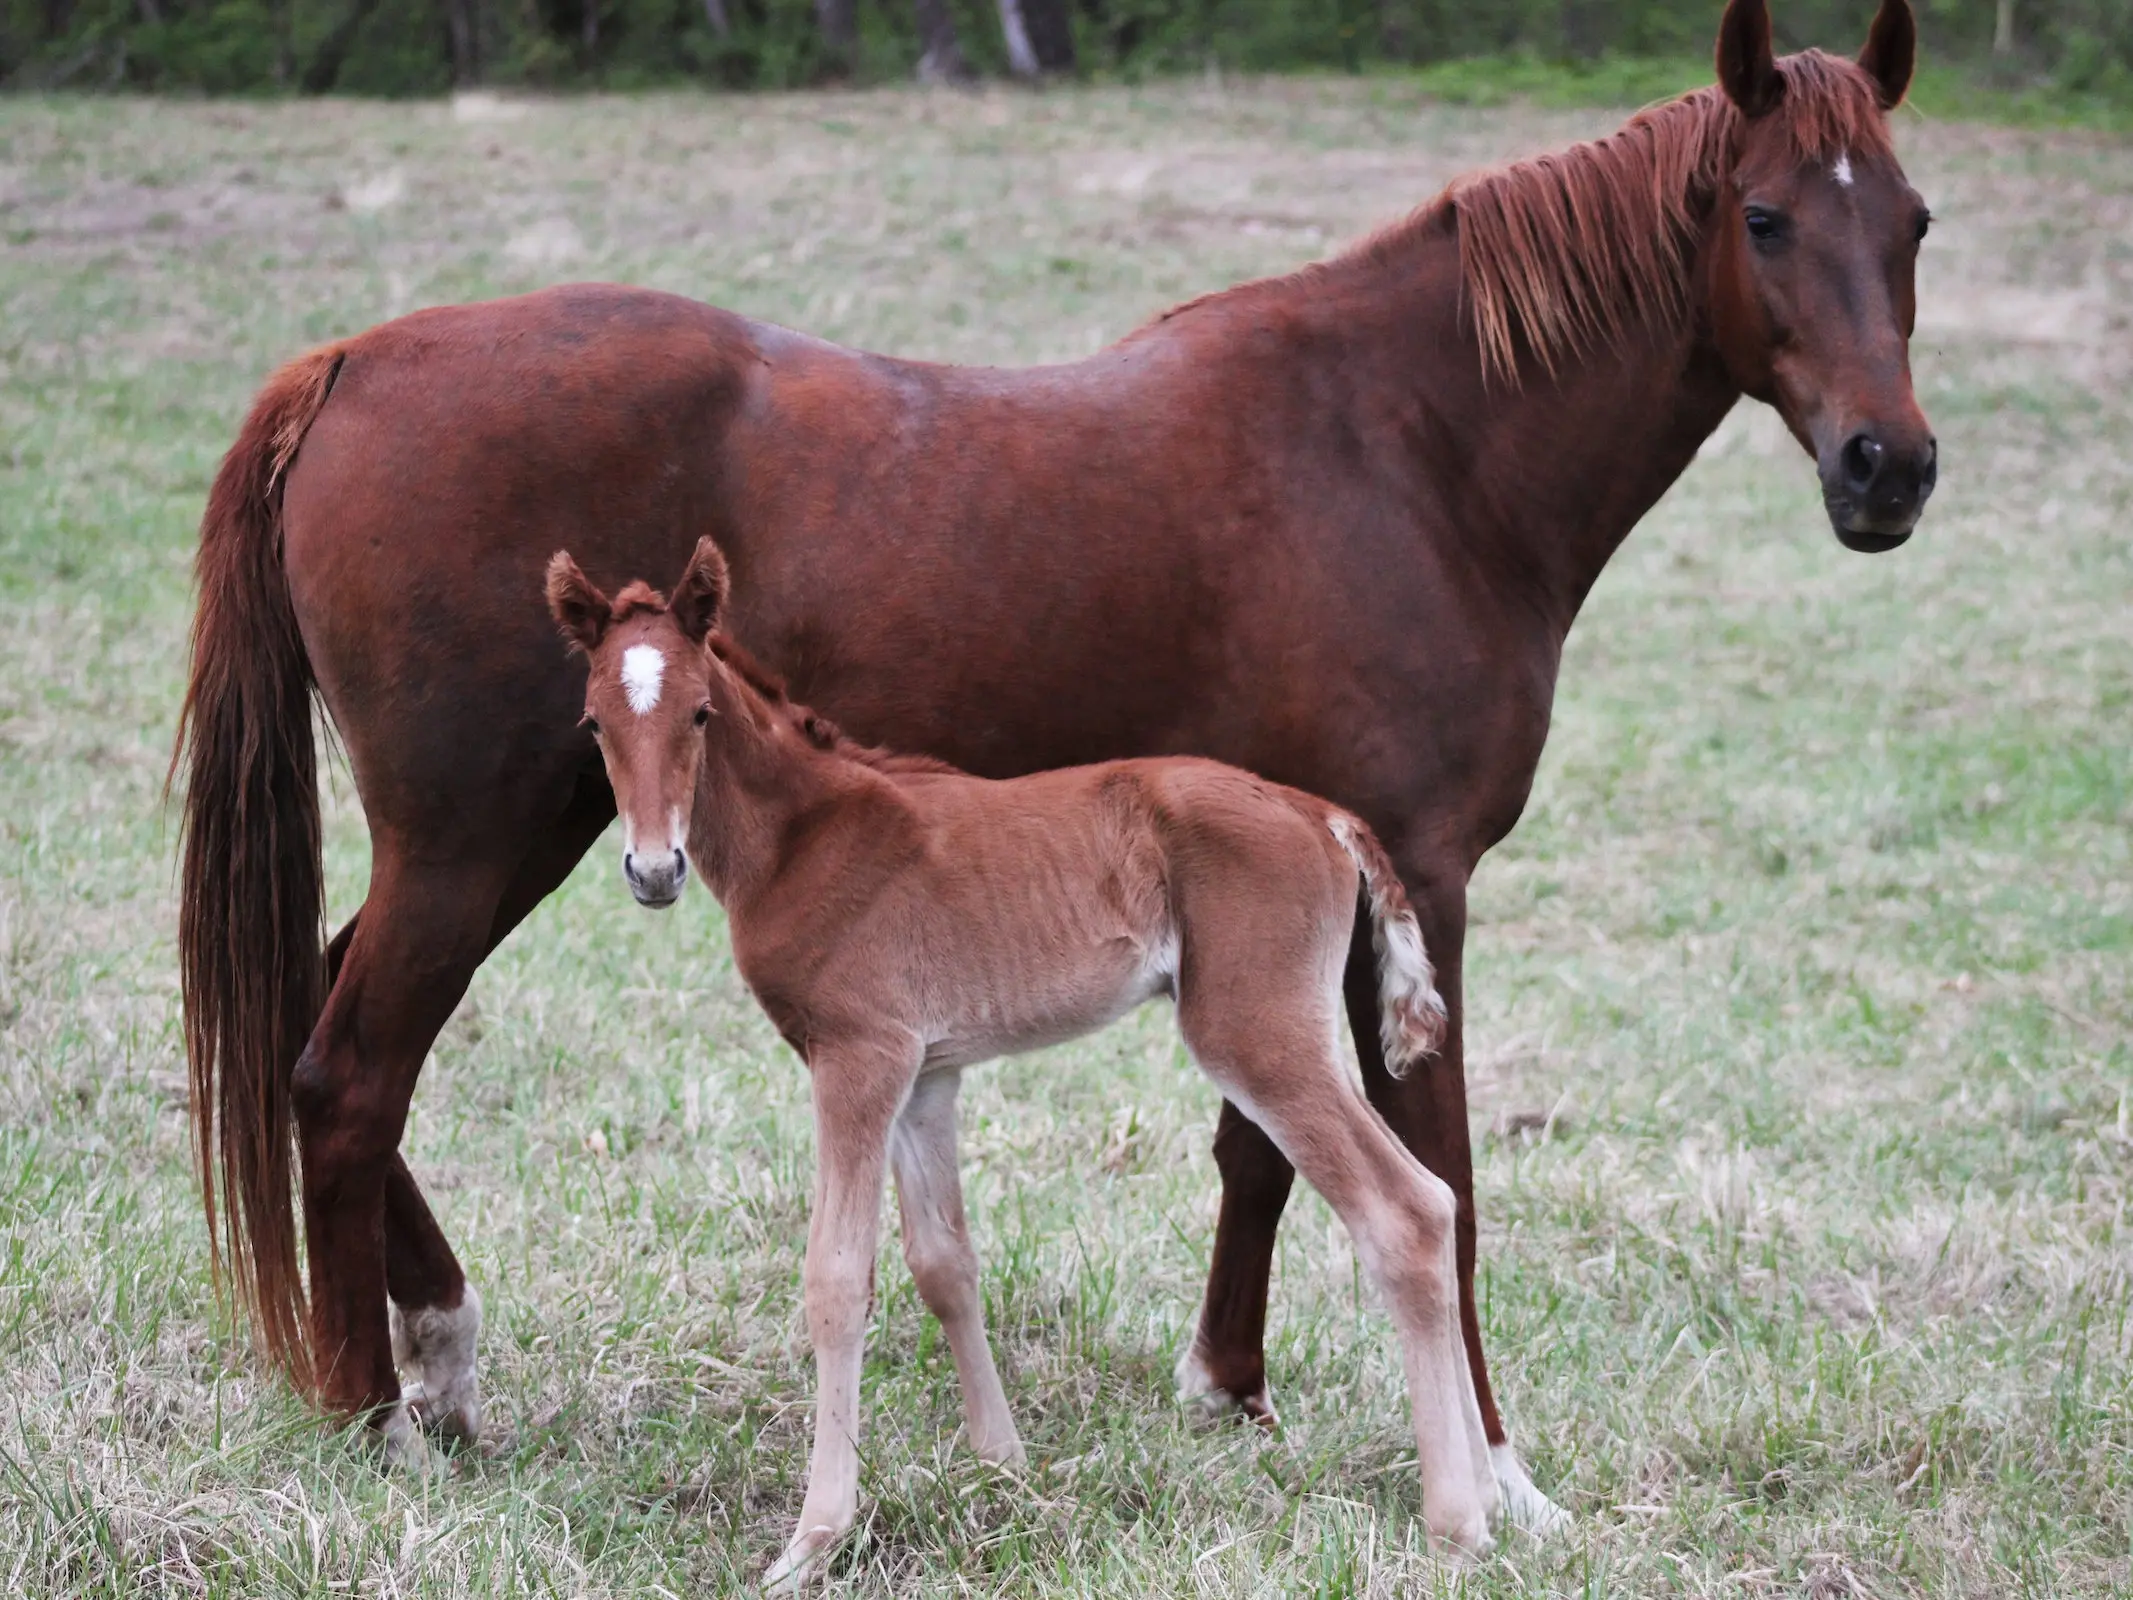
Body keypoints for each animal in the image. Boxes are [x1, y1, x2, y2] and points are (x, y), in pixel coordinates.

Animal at [541, 539, 1493, 1578]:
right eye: (593, 722)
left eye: (700, 713)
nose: (653, 871)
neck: (803, 836)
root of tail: (1318, 812)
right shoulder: (926, 1073)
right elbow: (943, 1262)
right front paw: (1002, 1467)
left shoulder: (857, 1056)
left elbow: (836, 1276)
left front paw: (814, 1538)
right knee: (1432, 1199)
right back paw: (1487, 1493)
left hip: (1257, 1032)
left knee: (1403, 1211)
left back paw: (1458, 1520)